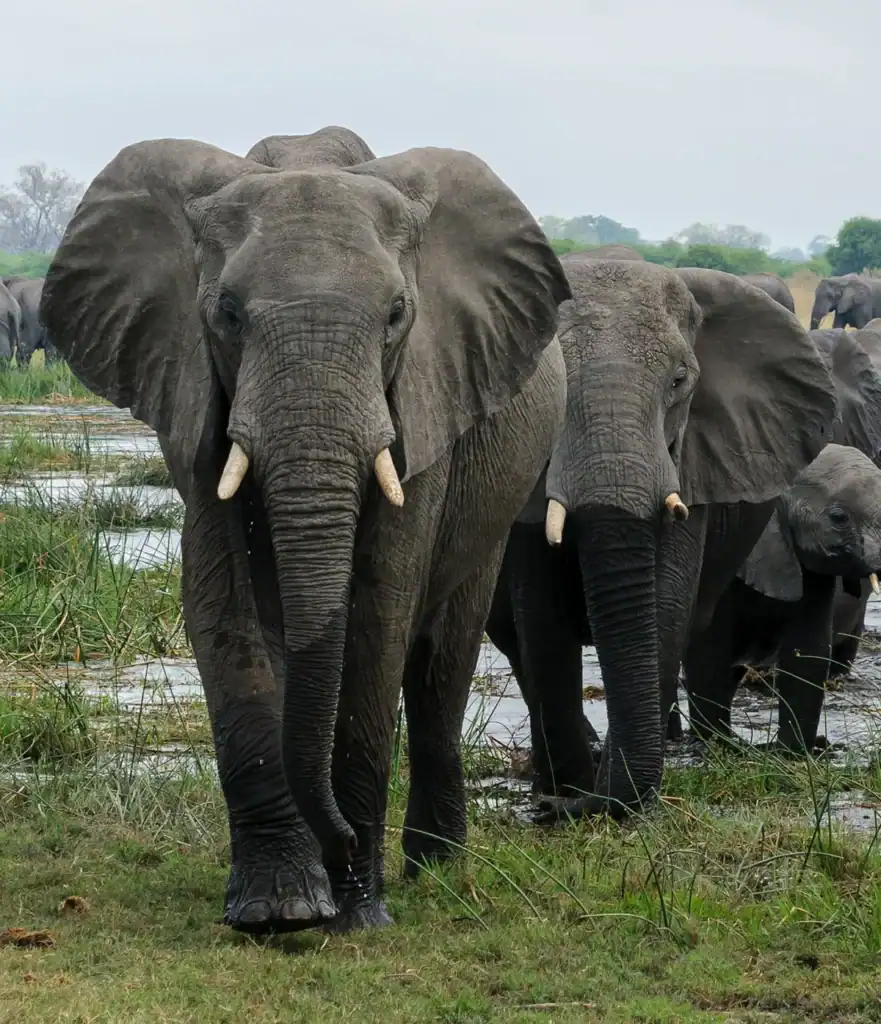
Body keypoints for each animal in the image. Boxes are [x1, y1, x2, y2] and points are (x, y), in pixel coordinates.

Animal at [39, 125, 571, 934]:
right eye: (227, 313)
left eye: (396, 315)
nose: (345, 843)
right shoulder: (194, 393)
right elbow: (223, 605)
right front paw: (279, 911)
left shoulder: (422, 403)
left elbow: (379, 614)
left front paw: (356, 914)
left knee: (440, 660)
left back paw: (436, 867)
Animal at [485, 258, 836, 815]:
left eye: (679, 380)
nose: (564, 807)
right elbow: (541, 617)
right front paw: (565, 796)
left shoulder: (690, 456)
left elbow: (665, 601)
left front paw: (600, 800)